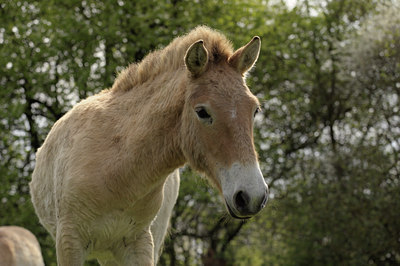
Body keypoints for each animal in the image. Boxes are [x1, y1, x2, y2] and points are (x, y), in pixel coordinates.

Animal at [30, 25, 268, 266]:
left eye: (254, 110)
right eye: (202, 112)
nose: (252, 196)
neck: (117, 170)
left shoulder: (140, 243)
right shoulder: (69, 242)